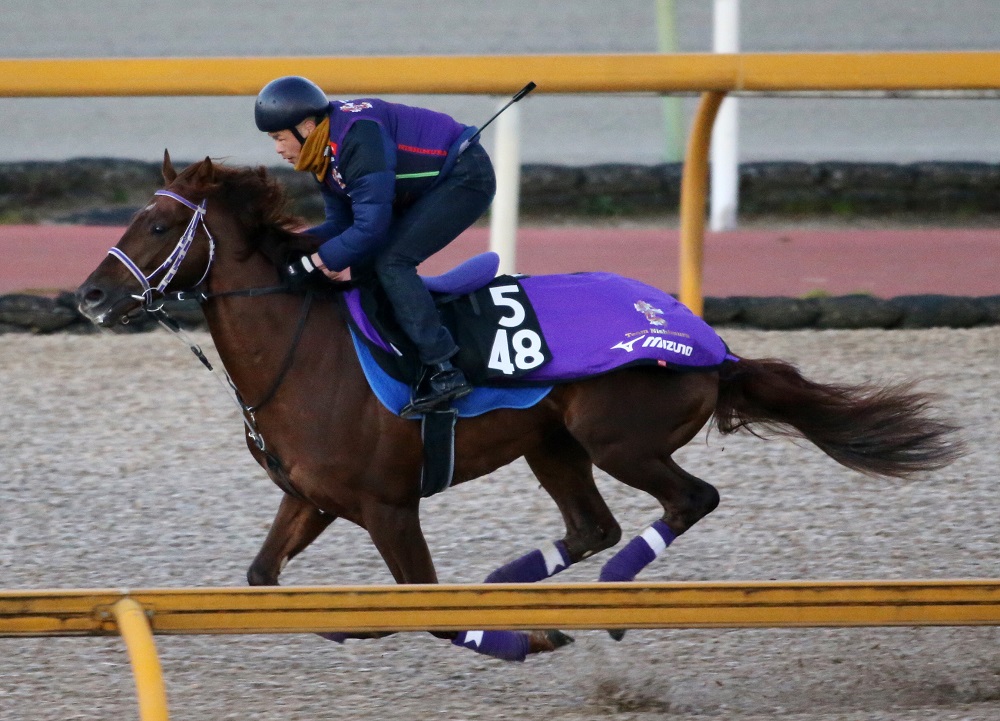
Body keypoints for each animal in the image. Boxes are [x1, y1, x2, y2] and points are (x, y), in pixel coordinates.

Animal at [74, 155, 964, 660]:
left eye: (159, 223)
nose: (88, 296)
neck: (303, 349)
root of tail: (709, 343)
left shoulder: (388, 506)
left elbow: (428, 611)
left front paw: (524, 634)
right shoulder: (313, 497)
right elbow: (264, 579)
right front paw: (354, 620)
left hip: (616, 437)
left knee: (689, 499)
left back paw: (606, 598)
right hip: (553, 441)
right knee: (592, 523)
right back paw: (518, 581)